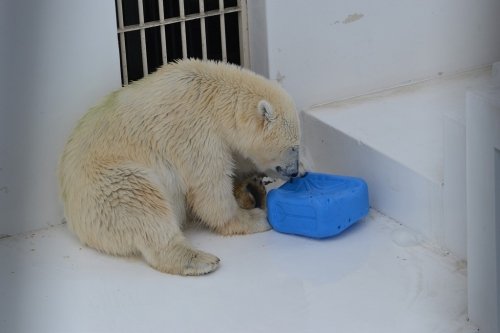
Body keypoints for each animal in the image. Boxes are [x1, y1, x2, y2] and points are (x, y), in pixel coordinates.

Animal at [58, 59, 300, 274]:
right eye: (293, 147)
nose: (296, 172)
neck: (213, 98)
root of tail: (73, 221)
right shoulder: (195, 133)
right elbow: (208, 188)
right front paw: (253, 217)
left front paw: (250, 187)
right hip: (106, 185)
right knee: (141, 203)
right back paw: (200, 260)